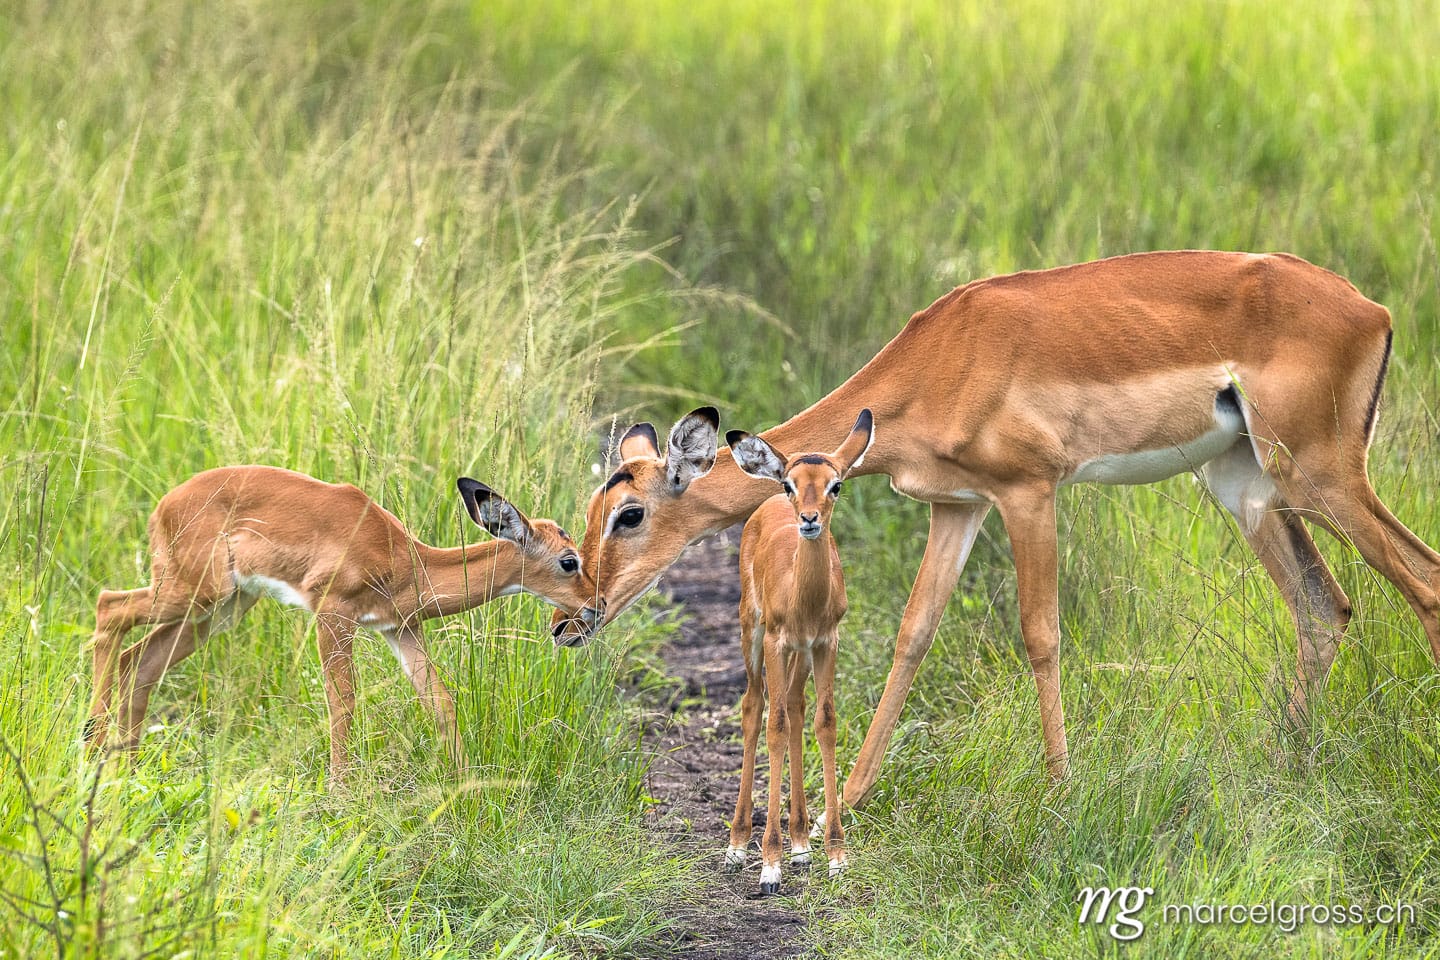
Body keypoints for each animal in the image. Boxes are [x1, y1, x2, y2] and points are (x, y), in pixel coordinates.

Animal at [86, 465, 601, 776]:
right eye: (569, 560)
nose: (591, 612)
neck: (408, 560)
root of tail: (163, 505)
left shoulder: (401, 628)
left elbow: (440, 701)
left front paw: (466, 784)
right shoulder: (332, 611)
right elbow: (343, 703)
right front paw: (342, 793)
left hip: (221, 609)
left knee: (140, 661)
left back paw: (127, 767)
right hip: (192, 592)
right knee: (108, 607)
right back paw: (92, 748)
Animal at [556, 250, 1440, 812]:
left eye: (630, 512)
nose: (573, 619)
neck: (941, 360)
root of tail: (1372, 309)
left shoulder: (1028, 492)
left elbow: (1040, 634)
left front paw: (1059, 791)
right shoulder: (959, 506)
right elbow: (914, 631)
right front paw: (852, 799)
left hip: (1321, 474)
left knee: (1423, 582)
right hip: (1246, 487)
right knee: (1325, 608)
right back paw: (1276, 763)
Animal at [723, 409, 872, 894]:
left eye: (835, 484)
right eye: (791, 483)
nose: (809, 519)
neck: (803, 597)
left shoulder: (825, 643)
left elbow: (825, 722)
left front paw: (835, 856)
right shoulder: (776, 641)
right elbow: (773, 726)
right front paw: (770, 866)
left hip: (800, 657)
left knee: (794, 705)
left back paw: (802, 844)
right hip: (752, 634)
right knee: (756, 707)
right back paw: (737, 847)